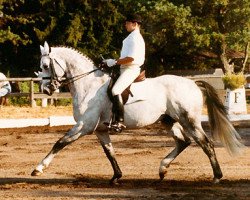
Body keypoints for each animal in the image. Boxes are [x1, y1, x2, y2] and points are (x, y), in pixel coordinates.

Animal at [31, 41, 244, 184]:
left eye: (45, 66)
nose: (46, 90)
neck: (88, 85)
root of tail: (192, 83)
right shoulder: (100, 129)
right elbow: (109, 152)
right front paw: (116, 177)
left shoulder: (84, 126)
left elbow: (60, 142)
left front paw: (38, 168)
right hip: (168, 120)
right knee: (183, 141)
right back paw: (162, 169)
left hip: (188, 119)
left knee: (205, 143)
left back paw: (216, 177)